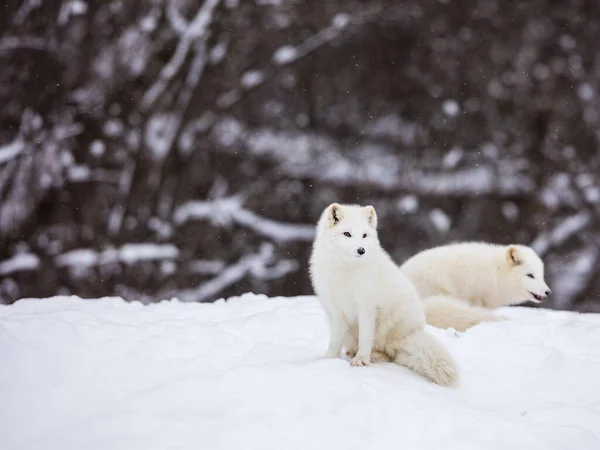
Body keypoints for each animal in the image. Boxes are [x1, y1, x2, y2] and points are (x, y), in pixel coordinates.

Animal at [312, 204, 458, 386]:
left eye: (364, 235)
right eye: (347, 234)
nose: (361, 250)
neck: (346, 270)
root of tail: (411, 335)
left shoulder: (366, 307)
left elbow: (366, 338)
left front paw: (361, 360)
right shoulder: (338, 311)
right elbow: (334, 340)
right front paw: (328, 358)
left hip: (388, 323)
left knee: (391, 355)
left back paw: (375, 356)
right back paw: (352, 352)